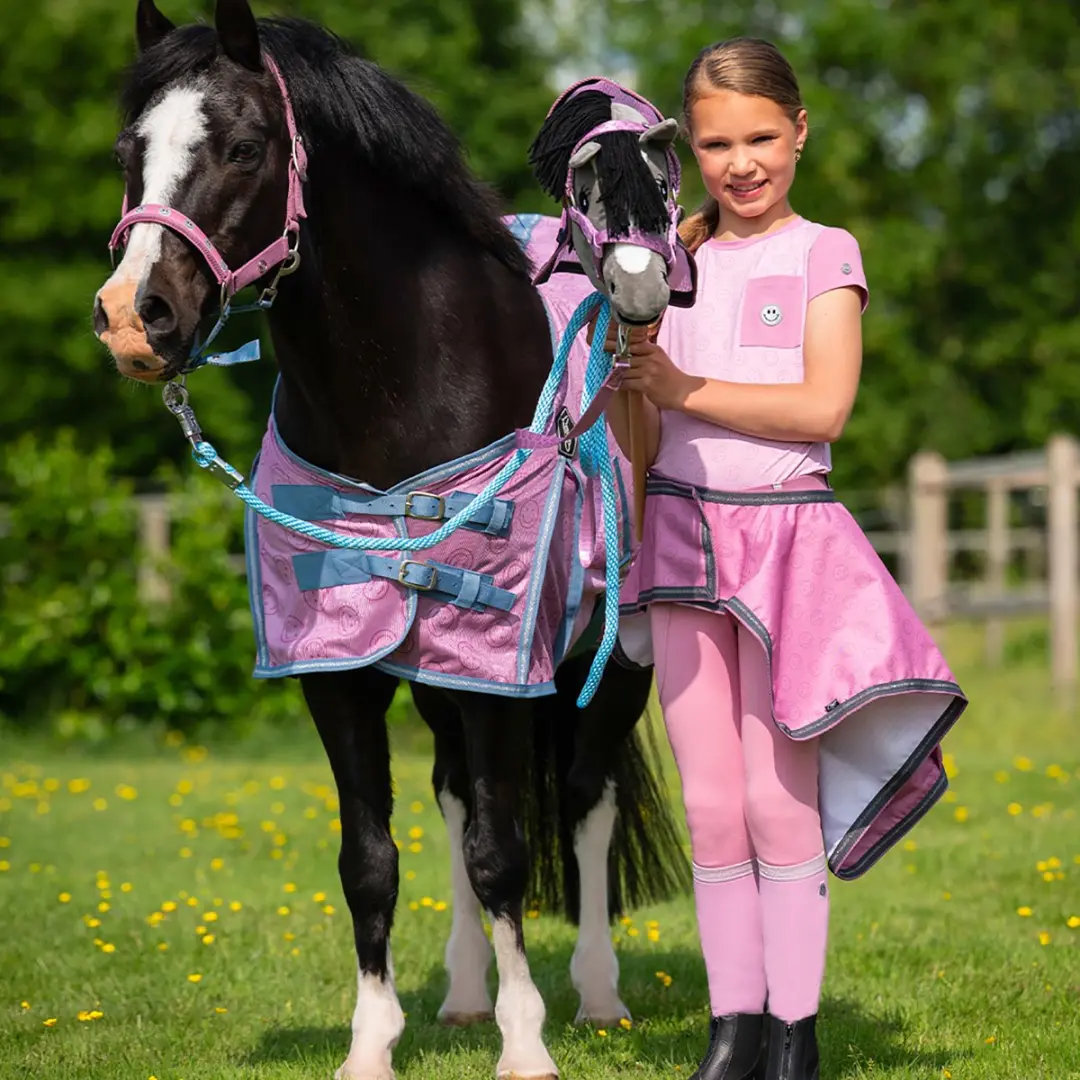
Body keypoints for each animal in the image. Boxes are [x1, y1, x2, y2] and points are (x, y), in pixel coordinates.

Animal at [93, 3, 693, 1077]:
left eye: (244, 147)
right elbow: (371, 858)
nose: (133, 316)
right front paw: (374, 1043)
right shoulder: (341, 672)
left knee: (584, 803)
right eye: (130, 151)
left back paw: (595, 995)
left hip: (613, 659)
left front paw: (526, 1046)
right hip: (435, 676)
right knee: (455, 798)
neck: (403, 391)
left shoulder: (500, 669)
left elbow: (506, 851)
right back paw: (463, 994)